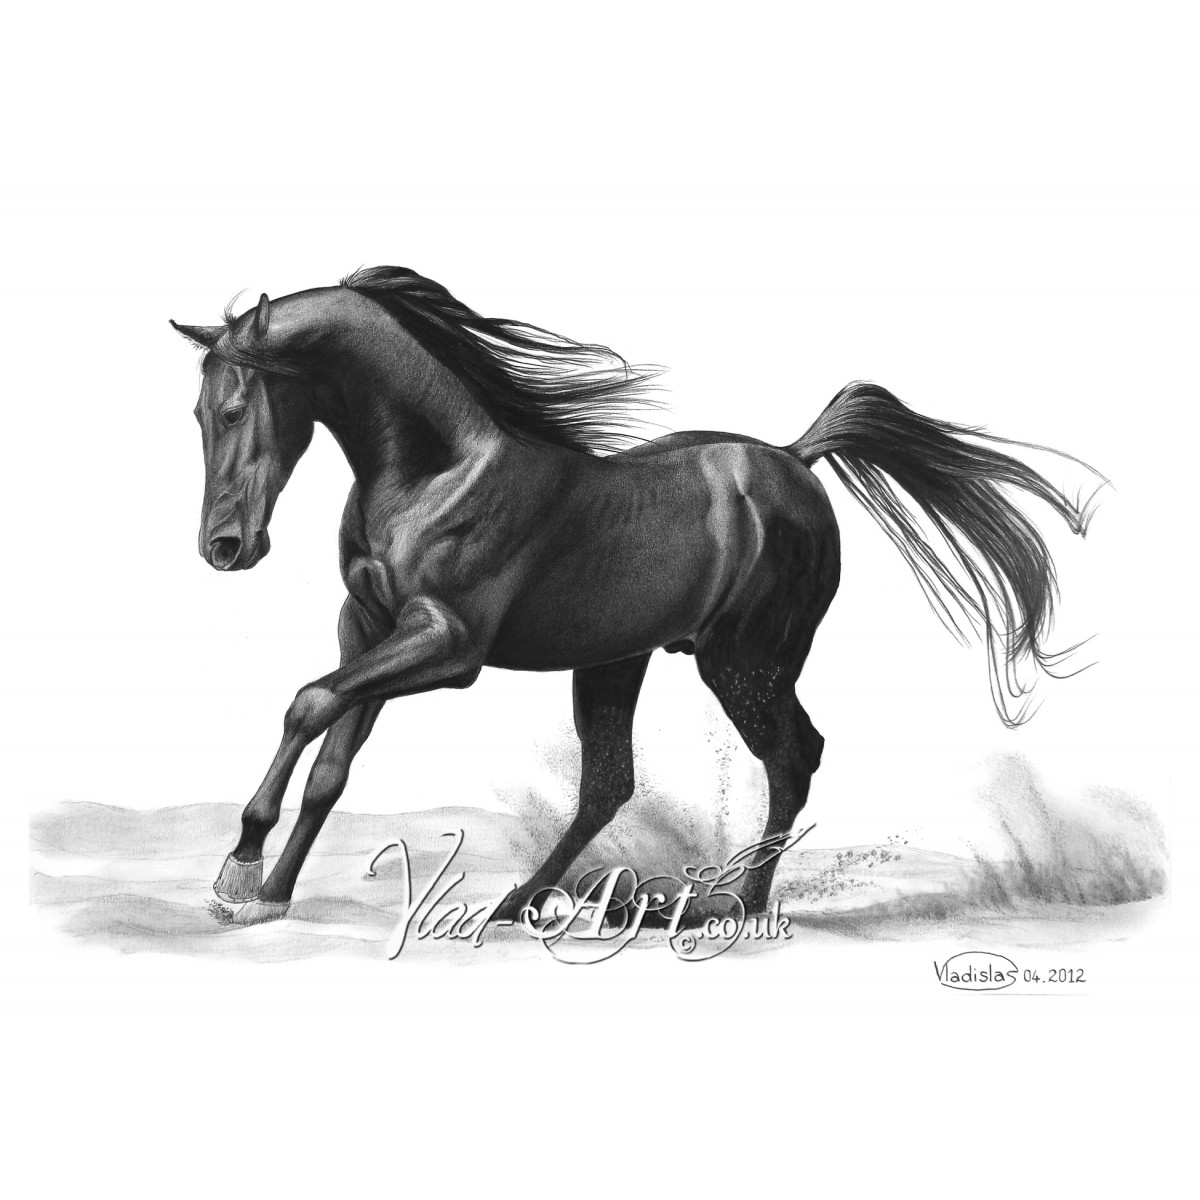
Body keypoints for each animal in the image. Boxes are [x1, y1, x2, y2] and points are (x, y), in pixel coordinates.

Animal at [172, 266, 1105, 927]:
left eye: (234, 407)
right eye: (196, 414)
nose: (224, 549)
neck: (434, 474)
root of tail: (795, 458)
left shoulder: (446, 644)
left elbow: (308, 703)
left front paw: (238, 868)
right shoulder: (365, 626)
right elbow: (332, 756)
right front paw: (268, 892)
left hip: (746, 663)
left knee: (793, 755)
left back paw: (734, 908)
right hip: (616, 663)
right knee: (610, 784)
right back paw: (520, 904)